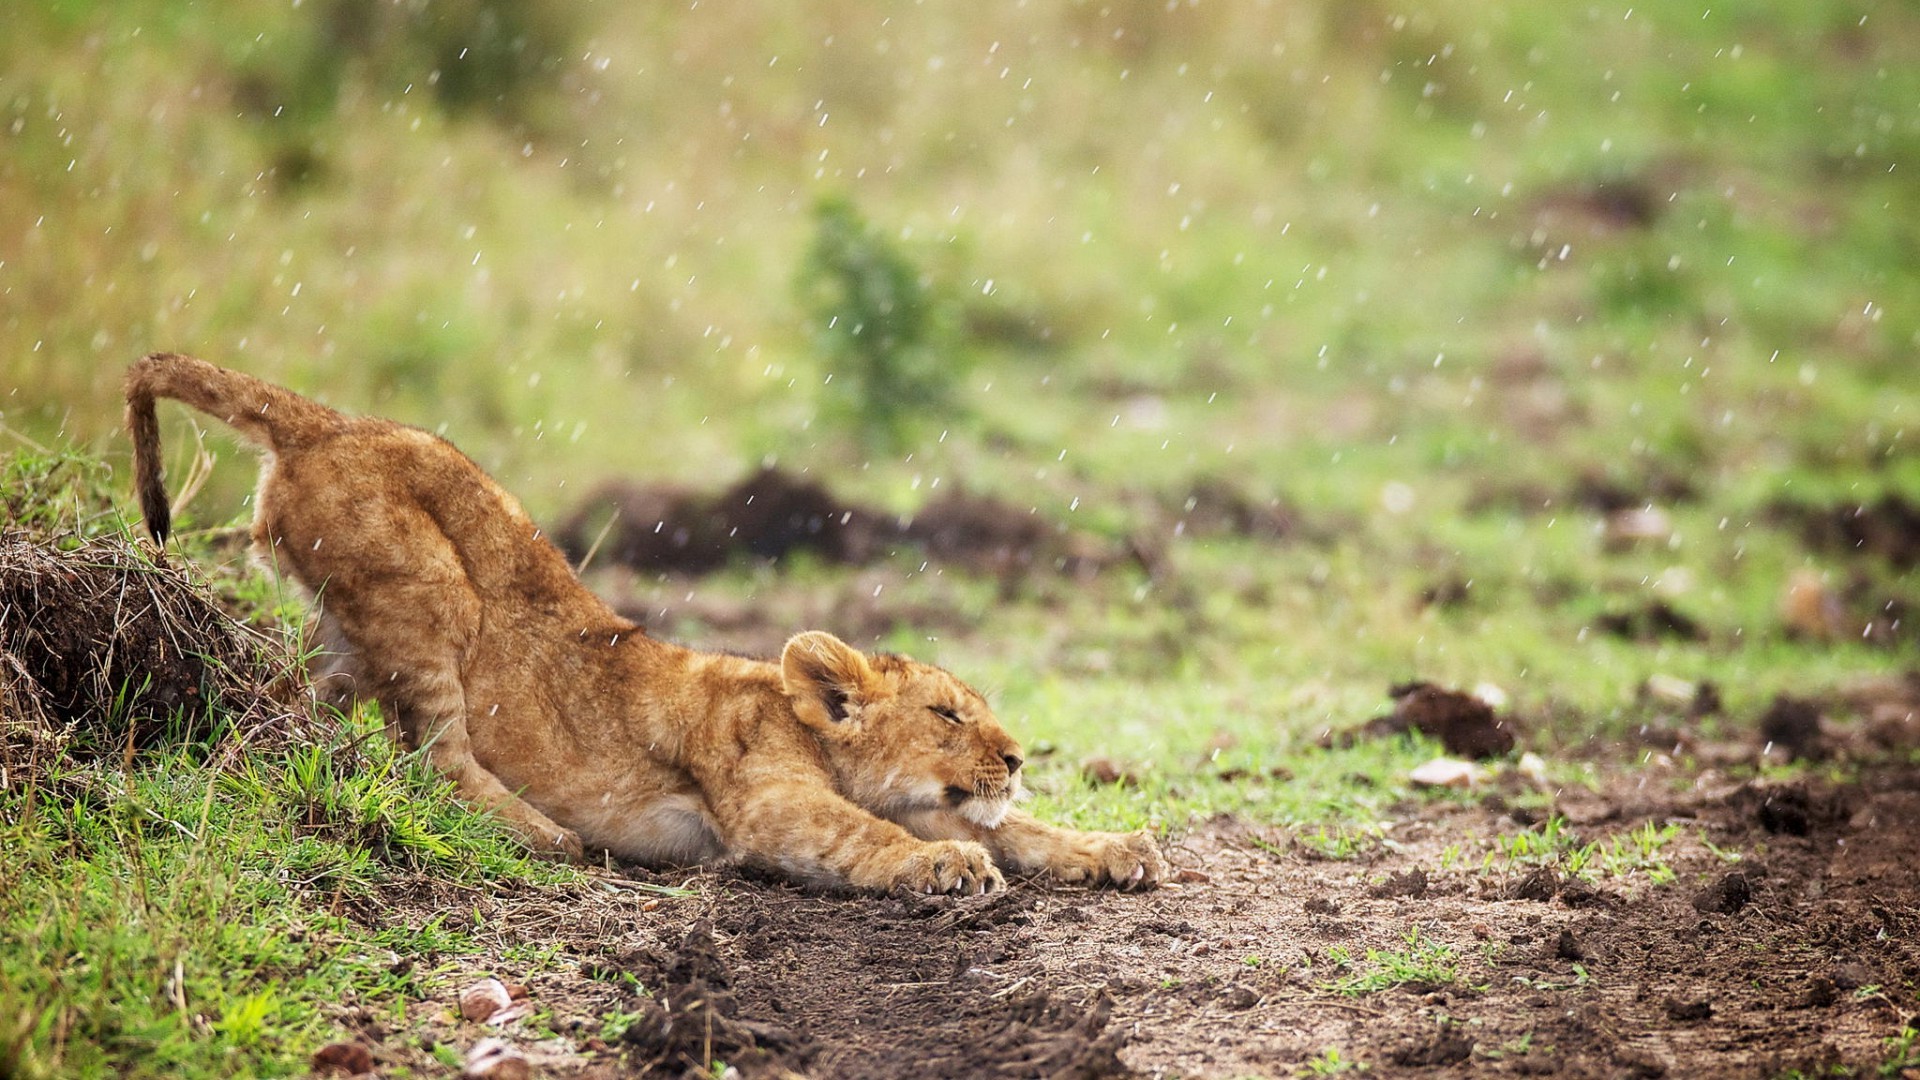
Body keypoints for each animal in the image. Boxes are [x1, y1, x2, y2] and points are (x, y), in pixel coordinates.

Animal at [125, 353, 1163, 893]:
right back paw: (546, 837)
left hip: (342, 628)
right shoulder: (765, 803)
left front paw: (1116, 848)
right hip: (428, 586)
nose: (1019, 757)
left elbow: (1025, 832)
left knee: (296, 702)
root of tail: (326, 422)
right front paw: (947, 862)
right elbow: (870, 837)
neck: (805, 729)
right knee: (437, 753)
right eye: (948, 716)